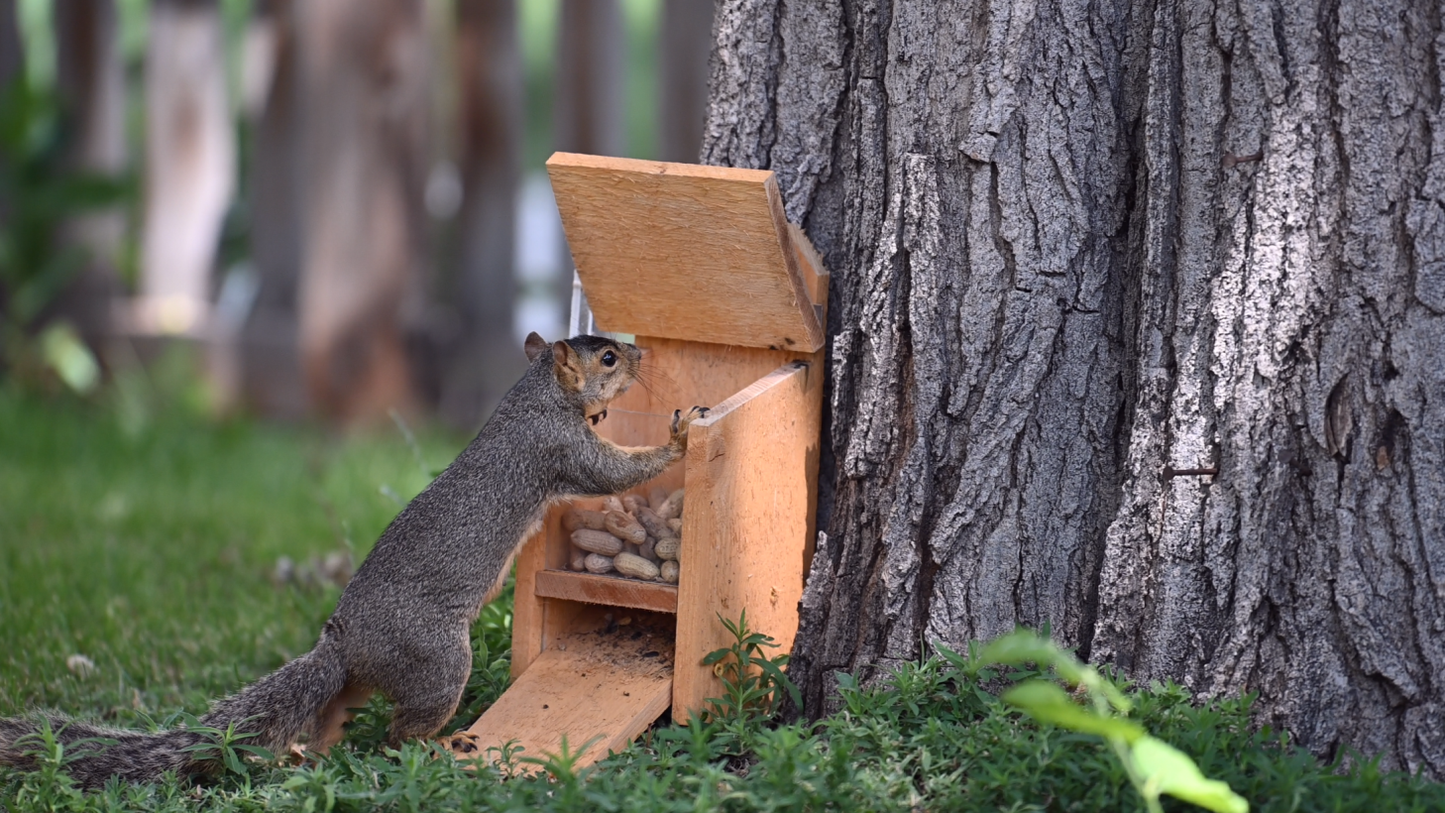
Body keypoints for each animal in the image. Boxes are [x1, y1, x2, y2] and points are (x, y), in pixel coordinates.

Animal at [0, 333, 707, 789]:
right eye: (608, 357)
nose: (641, 354)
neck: (533, 395)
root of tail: (344, 641)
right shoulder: (556, 447)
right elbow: (610, 471)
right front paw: (678, 437)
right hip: (437, 662)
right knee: (398, 735)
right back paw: (440, 745)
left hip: (366, 679)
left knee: (335, 717)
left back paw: (305, 756)